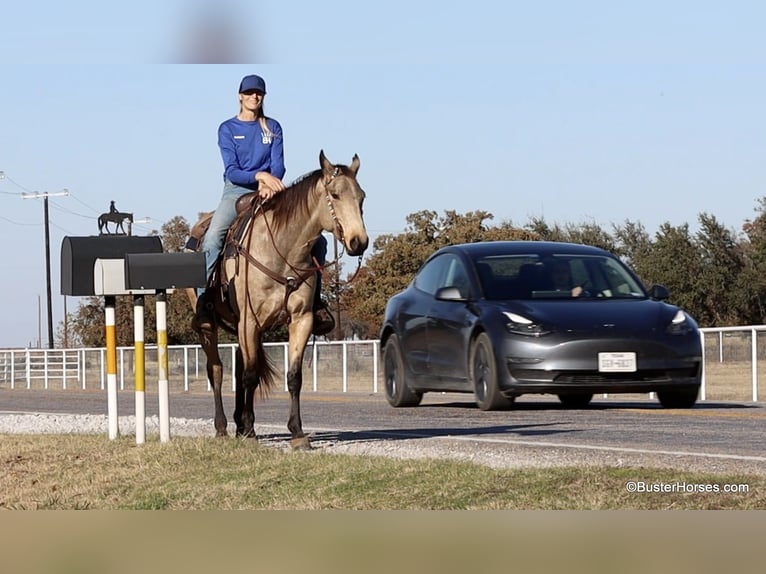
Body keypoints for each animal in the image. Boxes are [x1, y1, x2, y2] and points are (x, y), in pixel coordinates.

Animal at [190, 150, 369, 449]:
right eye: (334, 194)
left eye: (362, 197)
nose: (359, 242)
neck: (283, 251)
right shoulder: (249, 321)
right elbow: (250, 375)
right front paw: (250, 430)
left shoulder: (300, 320)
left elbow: (293, 377)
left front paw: (296, 432)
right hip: (210, 327)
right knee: (216, 370)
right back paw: (223, 426)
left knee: (239, 367)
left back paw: (238, 424)